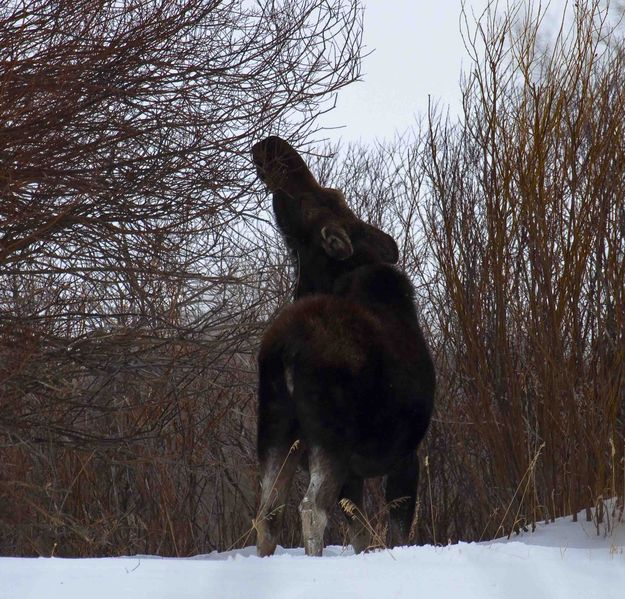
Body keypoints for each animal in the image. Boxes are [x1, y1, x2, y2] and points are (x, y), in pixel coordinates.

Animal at [249, 137, 434, 556]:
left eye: (317, 197)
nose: (272, 146)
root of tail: (285, 351)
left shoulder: (356, 470)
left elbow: (360, 532)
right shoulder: (405, 454)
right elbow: (397, 531)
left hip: (275, 430)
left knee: (268, 512)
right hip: (328, 438)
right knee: (311, 509)